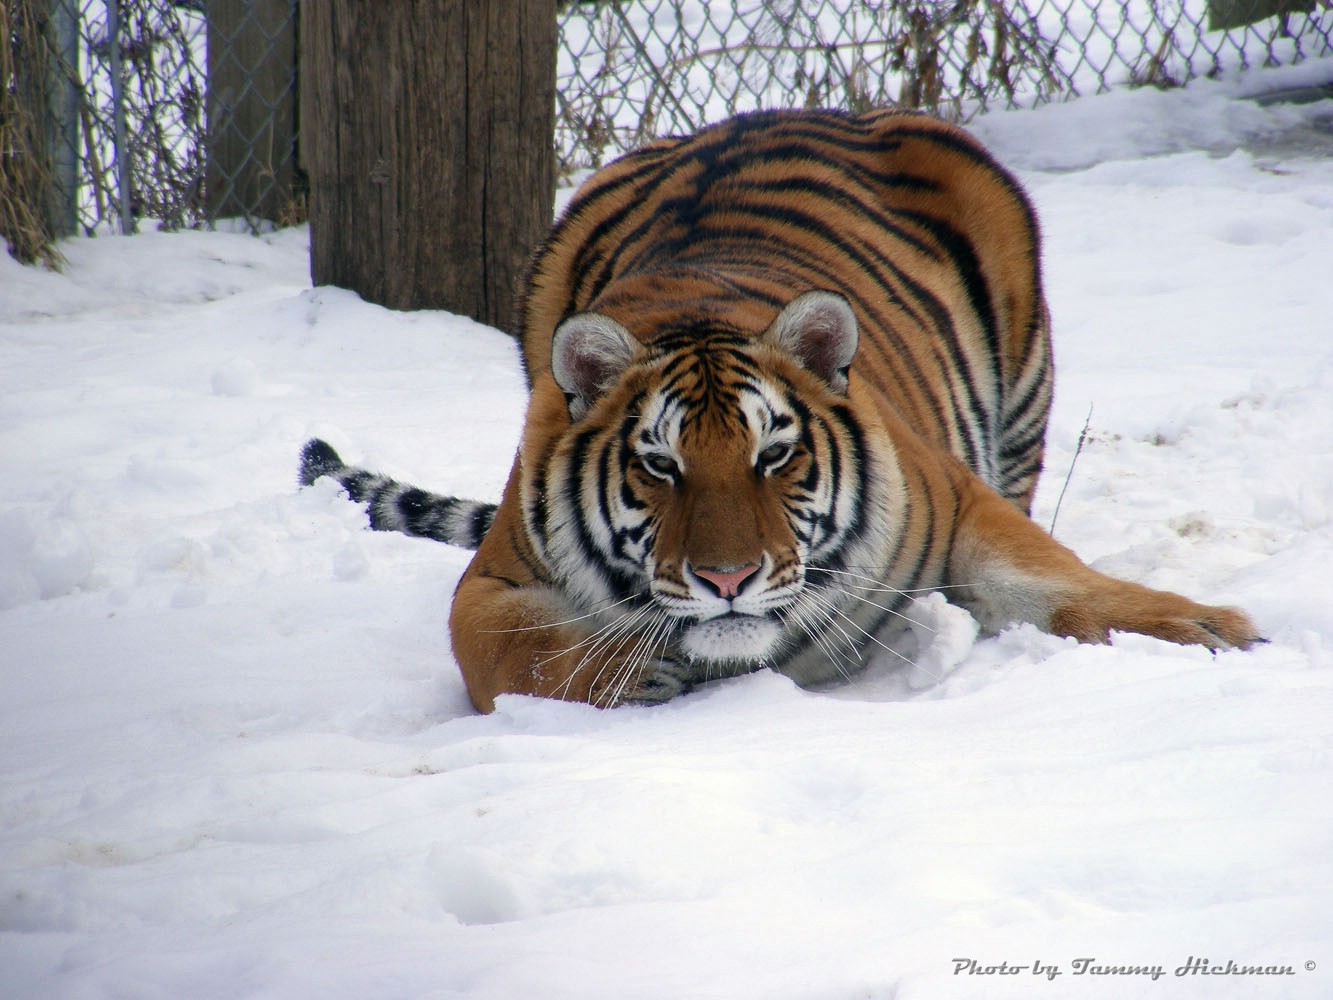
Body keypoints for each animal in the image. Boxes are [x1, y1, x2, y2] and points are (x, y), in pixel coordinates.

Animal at [297, 108, 1253, 714]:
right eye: (660, 466)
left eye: (772, 457)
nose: (727, 581)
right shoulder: (494, 576)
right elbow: (506, 650)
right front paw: (625, 671)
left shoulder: (959, 505)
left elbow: (1057, 579)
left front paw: (1203, 631)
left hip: (1019, 398)